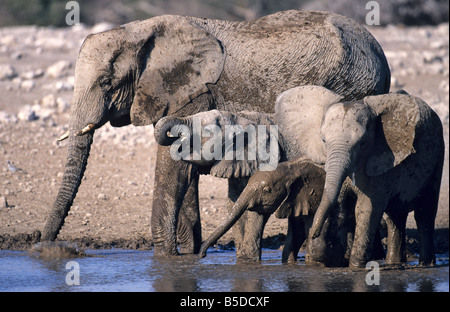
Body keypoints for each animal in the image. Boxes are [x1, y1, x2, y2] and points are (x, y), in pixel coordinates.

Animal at [42, 10, 390, 256]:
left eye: (106, 82)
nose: (45, 248)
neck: (140, 30)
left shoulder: (193, 91)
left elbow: (174, 166)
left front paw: (165, 258)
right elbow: (184, 168)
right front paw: (189, 253)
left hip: (354, 85)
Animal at [276, 86, 444, 268]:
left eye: (362, 143)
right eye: (323, 140)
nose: (313, 233)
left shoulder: (380, 161)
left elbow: (366, 208)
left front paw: (356, 267)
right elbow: (341, 206)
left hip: (438, 152)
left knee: (425, 212)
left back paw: (426, 264)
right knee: (395, 217)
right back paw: (394, 264)